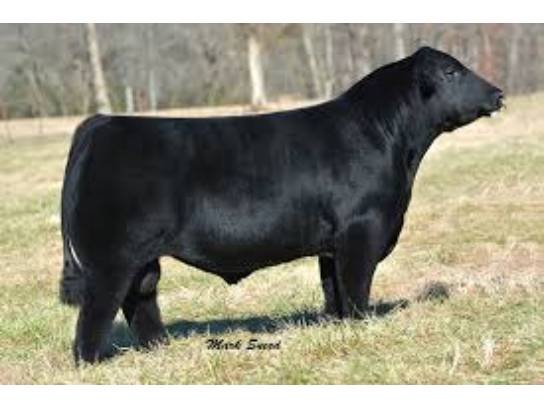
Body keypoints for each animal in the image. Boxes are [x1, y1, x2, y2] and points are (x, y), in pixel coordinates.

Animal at [60, 46, 504, 364]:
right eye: (451, 72)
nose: (498, 93)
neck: (390, 142)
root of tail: (103, 122)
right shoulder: (362, 228)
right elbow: (356, 287)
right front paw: (363, 328)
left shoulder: (332, 243)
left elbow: (334, 290)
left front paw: (339, 329)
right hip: (109, 260)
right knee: (93, 319)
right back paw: (94, 364)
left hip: (140, 260)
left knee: (142, 299)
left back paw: (160, 350)